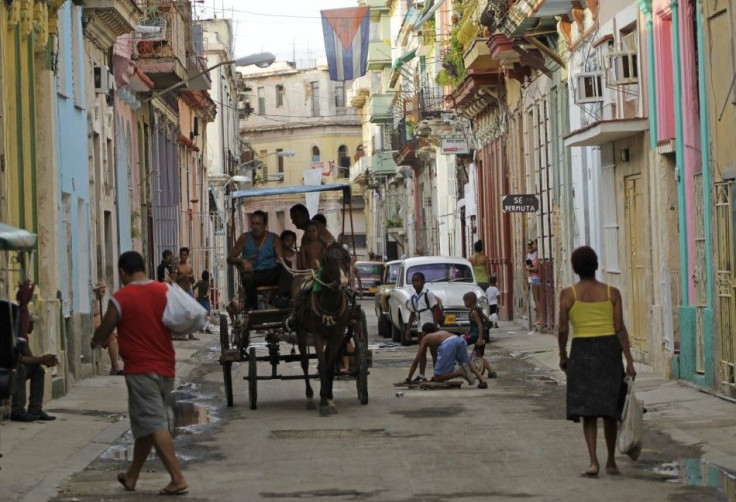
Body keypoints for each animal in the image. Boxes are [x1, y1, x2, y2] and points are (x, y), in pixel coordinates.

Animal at [288, 244, 350, 416]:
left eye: (346, 257)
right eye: (329, 261)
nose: (343, 282)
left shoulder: (336, 336)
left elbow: (330, 367)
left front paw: (330, 399)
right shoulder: (317, 335)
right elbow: (322, 365)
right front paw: (322, 401)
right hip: (301, 331)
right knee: (305, 362)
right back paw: (309, 397)